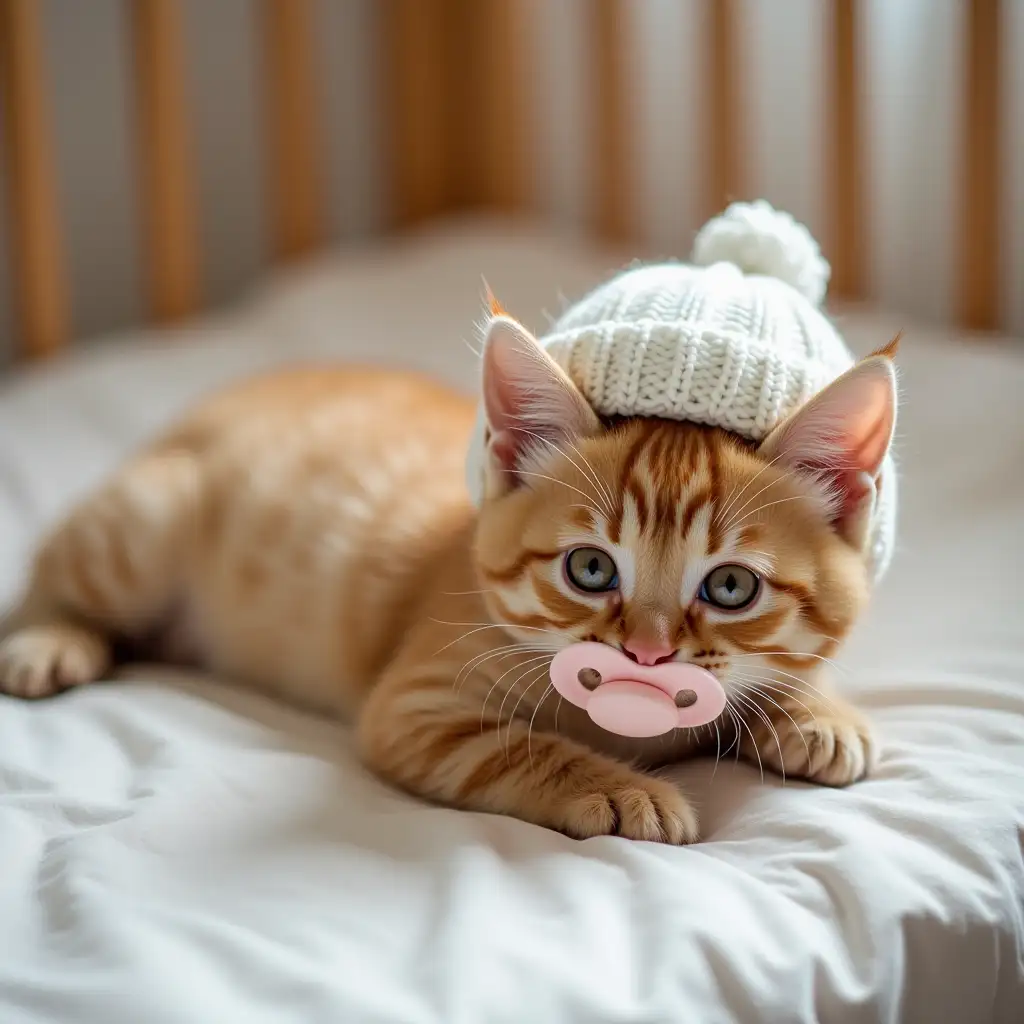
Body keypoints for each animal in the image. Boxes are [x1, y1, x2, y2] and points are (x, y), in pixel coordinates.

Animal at [0, 315, 897, 843]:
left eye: (731, 588)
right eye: (591, 568)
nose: (645, 655)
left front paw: (815, 713)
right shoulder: (414, 707)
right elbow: (523, 747)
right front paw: (622, 790)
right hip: (144, 523)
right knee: (48, 577)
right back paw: (48, 642)